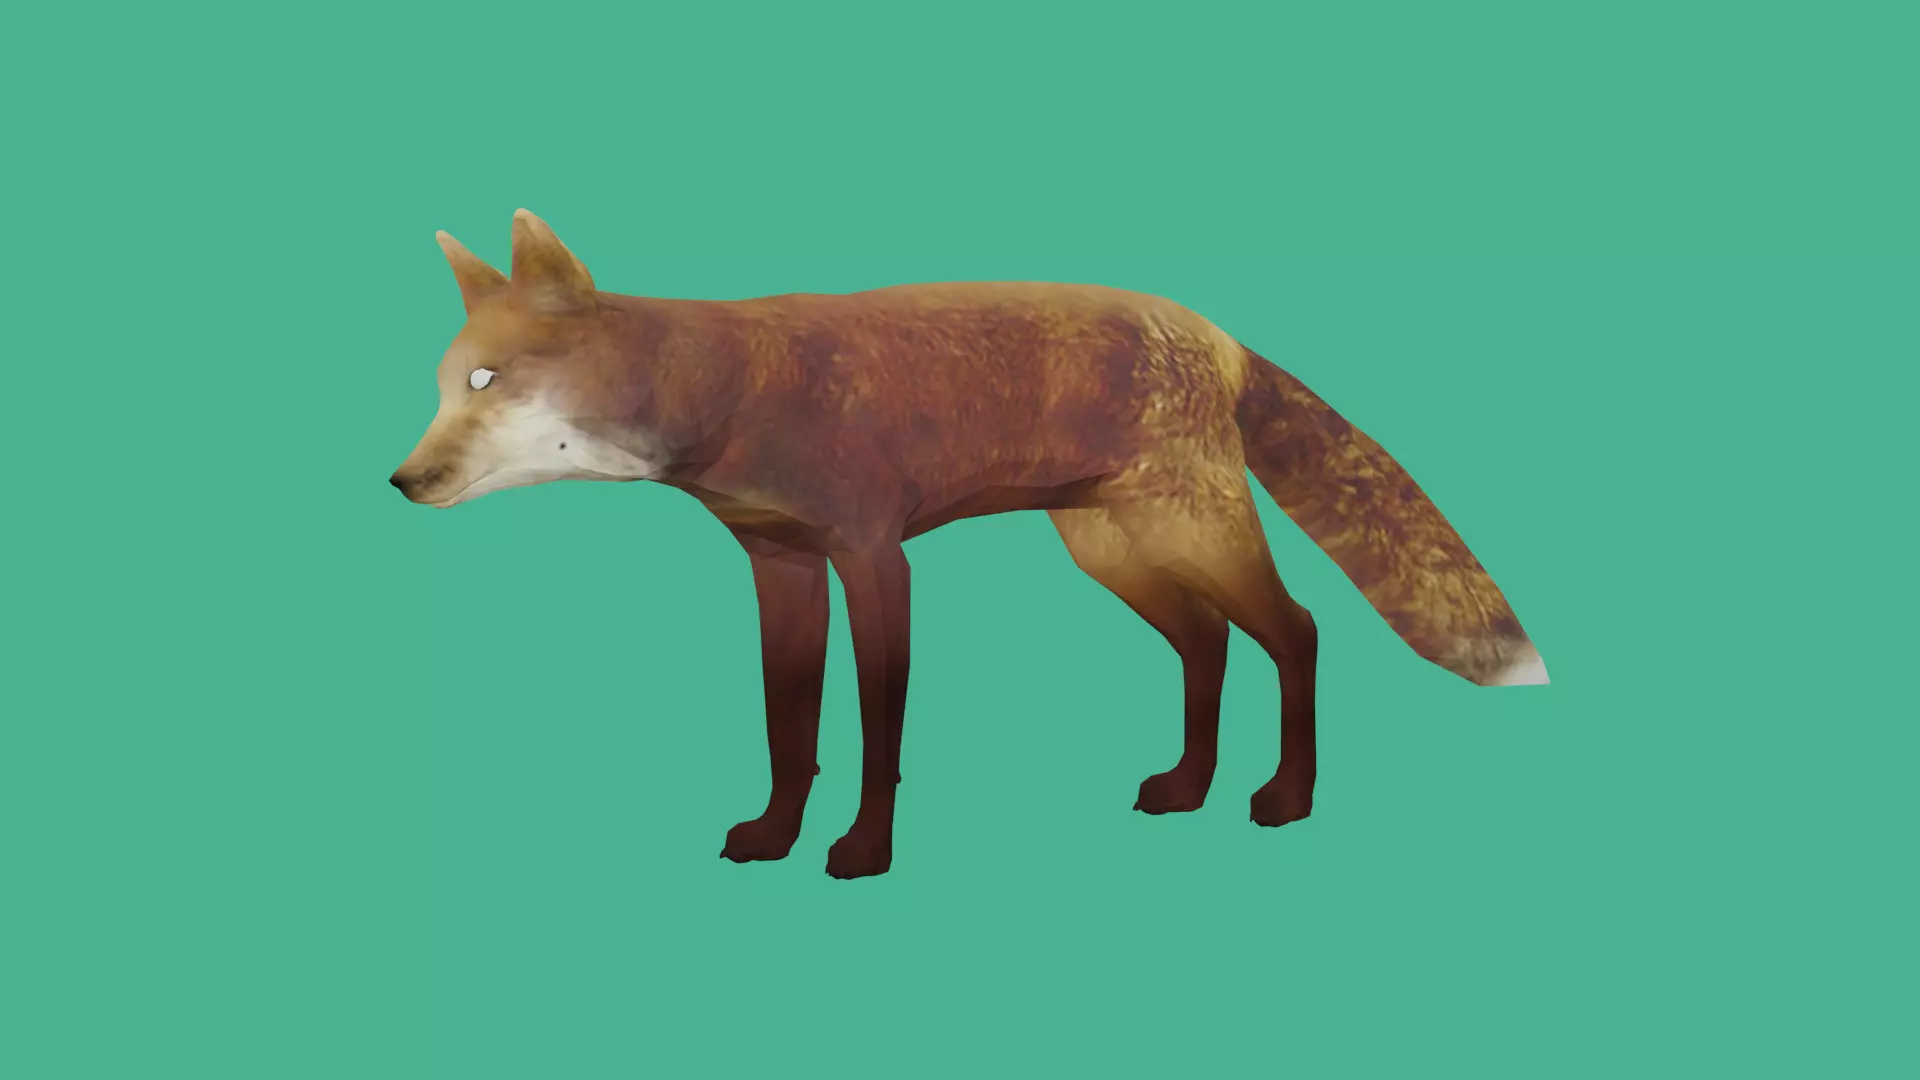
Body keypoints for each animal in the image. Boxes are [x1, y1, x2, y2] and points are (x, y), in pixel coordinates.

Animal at [391, 209, 1548, 880]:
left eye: (486, 383)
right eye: (443, 389)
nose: (402, 482)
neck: (734, 388)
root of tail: (1216, 331)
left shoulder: (875, 560)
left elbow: (877, 736)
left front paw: (864, 851)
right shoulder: (781, 565)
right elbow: (788, 728)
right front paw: (775, 835)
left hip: (1192, 530)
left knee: (1295, 630)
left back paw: (1287, 799)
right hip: (1115, 552)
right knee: (1207, 643)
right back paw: (1188, 785)